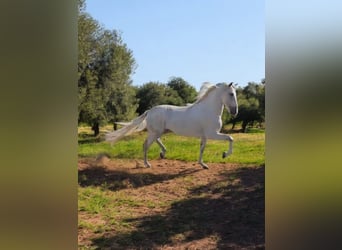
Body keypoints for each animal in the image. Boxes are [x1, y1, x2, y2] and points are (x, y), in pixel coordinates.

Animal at [106, 83, 238, 169]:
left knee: (156, 141)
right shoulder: (212, 134)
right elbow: (230, 138)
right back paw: (147, 164)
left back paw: (162, 153)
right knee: (146, 145)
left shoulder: (204, 136)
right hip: (156, 132)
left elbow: (202, 149)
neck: (209, 110)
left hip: (161, 131)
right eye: (231, 94)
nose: (235, 112)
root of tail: (150, 111)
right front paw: (224, 154)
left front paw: (203, 165)